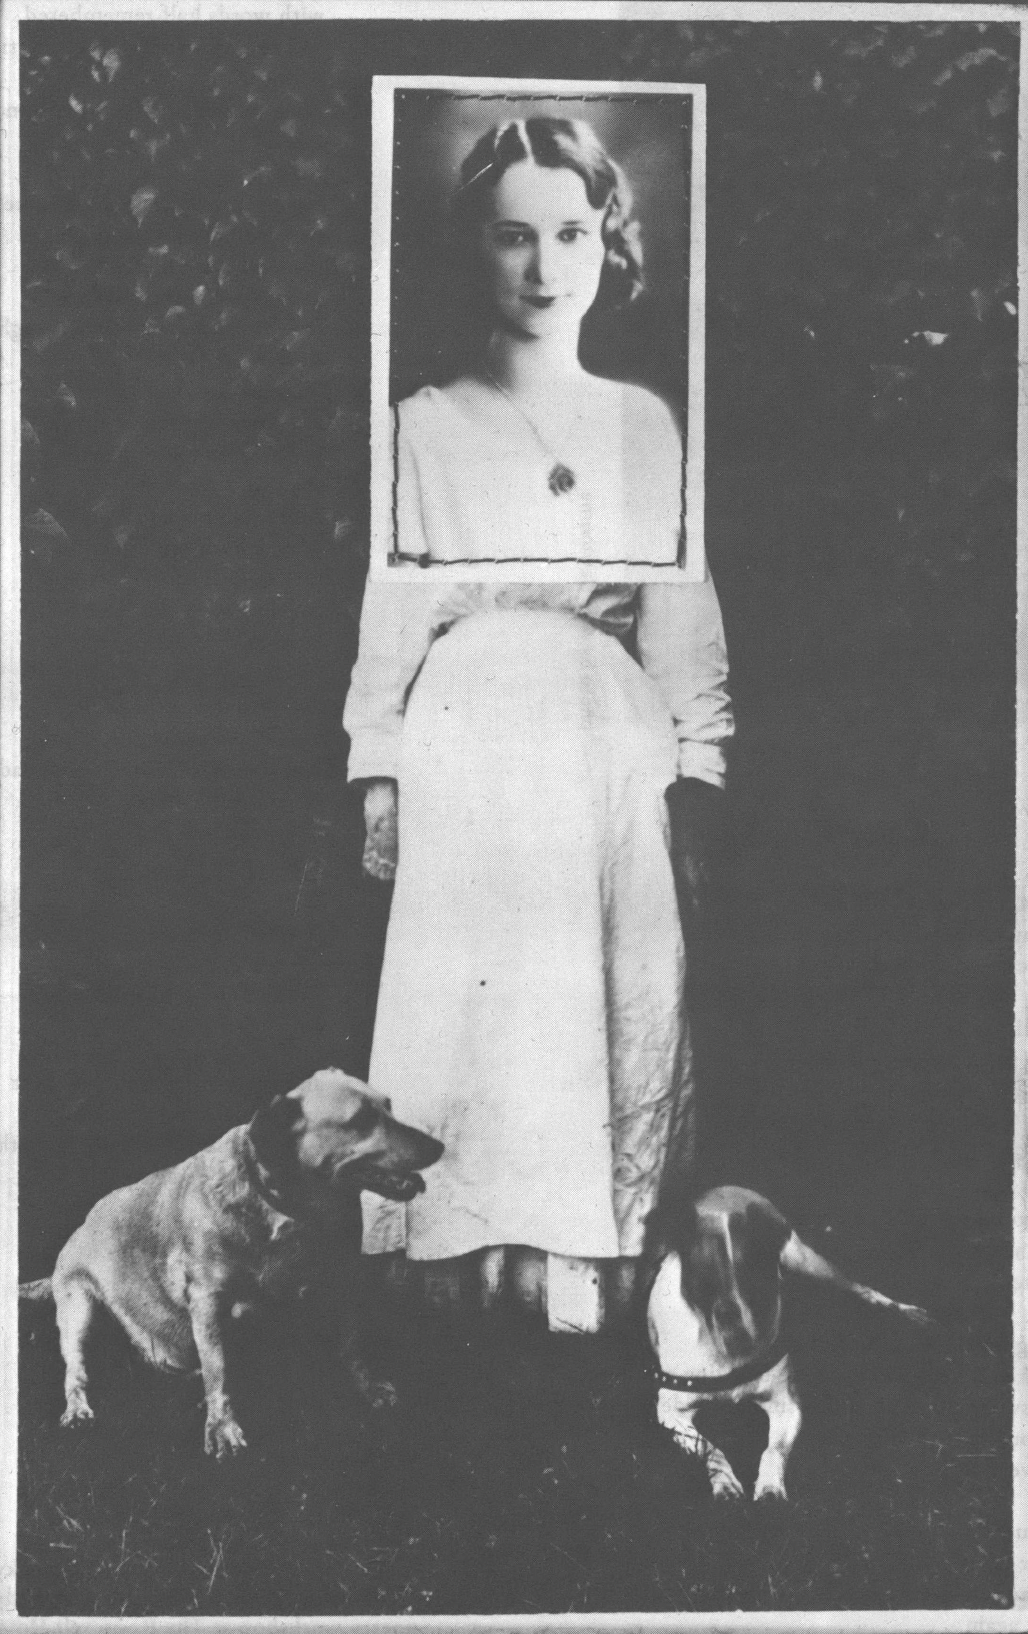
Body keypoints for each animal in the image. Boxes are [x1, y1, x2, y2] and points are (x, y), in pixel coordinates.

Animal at [17, 1071, 441, 1457]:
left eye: (389, 1107)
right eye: (362, 1120)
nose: (439, 1146)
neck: (292, 1209)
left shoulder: (341, 1283)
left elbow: (353, 1345)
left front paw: (369, 1387)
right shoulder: (208, 1299)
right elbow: (219, 1369)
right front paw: (222, 1428)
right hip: (78, 1308)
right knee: (76, 1370)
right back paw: (78, 1408)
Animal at [643, 1183, 934, 1496]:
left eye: (753, 1276)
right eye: (705, 1279)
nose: (737, 1333)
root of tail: (727, 1187)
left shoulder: (786, 1402)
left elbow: (774, 1449)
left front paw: (769, 1486)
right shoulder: (670, 1412)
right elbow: (711, 1448)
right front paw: (724, 1482)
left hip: (804, 1260)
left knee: (858, 1287)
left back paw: (905, 1311)